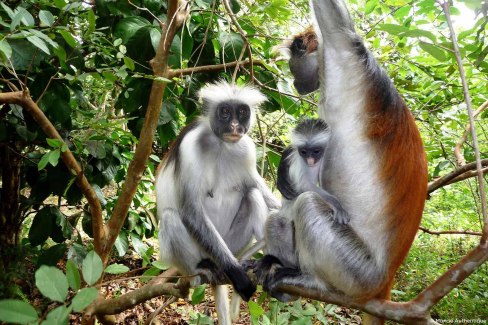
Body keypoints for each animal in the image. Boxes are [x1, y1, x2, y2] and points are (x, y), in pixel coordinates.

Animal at [258, 1, 428, 322]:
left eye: (293, 65)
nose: (296, 81)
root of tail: (384, 281)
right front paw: (286, 161)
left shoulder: (344, 47)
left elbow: (333, 17)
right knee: (279, 216)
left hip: (357, 271)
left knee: (308, 205)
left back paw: (310, 280)